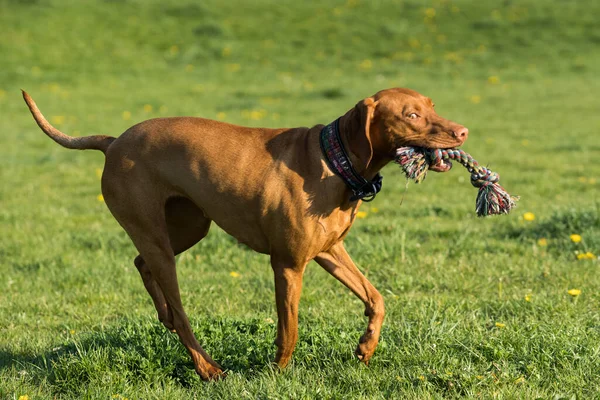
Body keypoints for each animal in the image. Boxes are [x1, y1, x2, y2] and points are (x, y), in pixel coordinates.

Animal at [23, 88, 466, 382]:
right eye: (411, 115)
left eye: (432, 107)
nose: (462, 132)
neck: (334, 160)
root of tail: (114, 142)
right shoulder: (286, 265)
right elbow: (289, 329)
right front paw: (277, 373)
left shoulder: (329, 251)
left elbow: (377, 299)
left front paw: (365, 346)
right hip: (160, 240)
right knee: (180, 312)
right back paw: (207, 367)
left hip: (190, 227)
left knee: (142, 265)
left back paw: (164, 316)